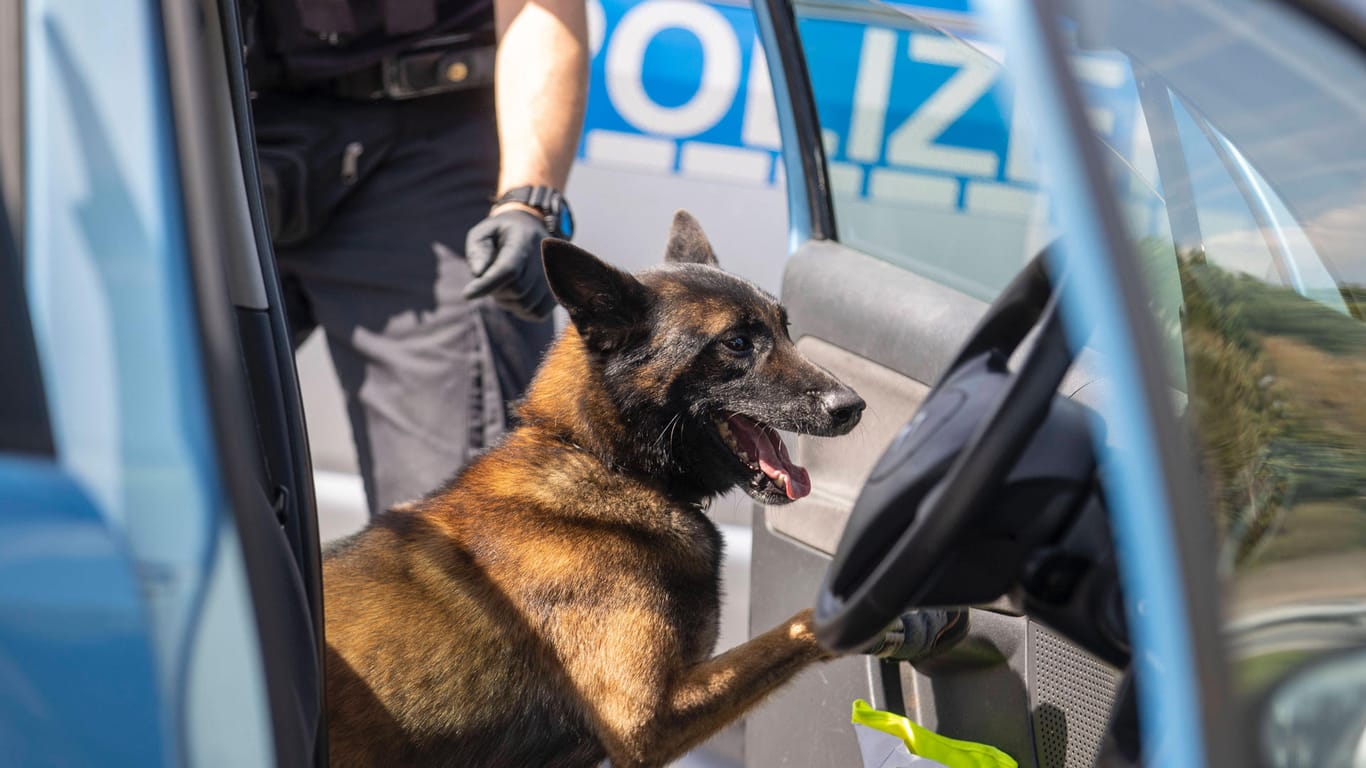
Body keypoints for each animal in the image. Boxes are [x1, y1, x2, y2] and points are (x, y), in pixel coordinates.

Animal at [322, 210, 863, 765]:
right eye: (736, 342)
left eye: (785, 329)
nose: (853, 406)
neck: (604, 463)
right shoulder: (646, 722)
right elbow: (794, 628)